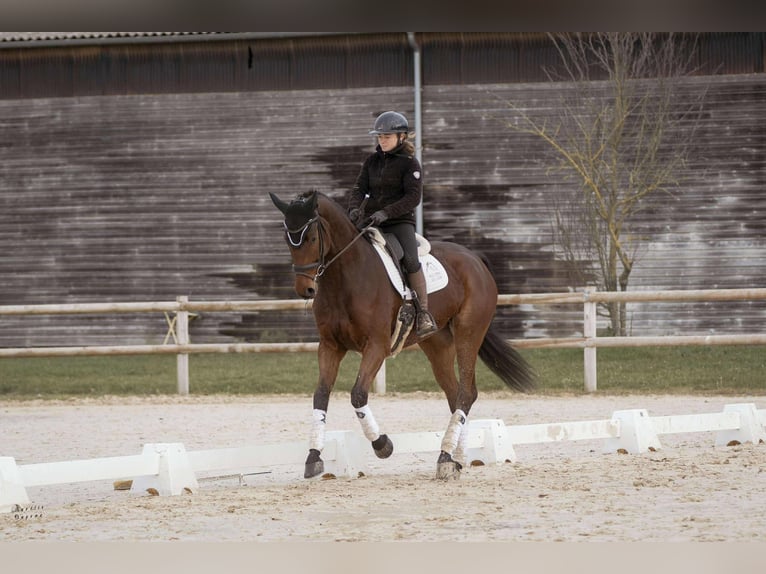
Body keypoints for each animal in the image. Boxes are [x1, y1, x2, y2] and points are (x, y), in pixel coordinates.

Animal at [272, 190, 536, 482]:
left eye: (311, 237)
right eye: (287, 238)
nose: (305, 289)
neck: (346, 277)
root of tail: (476, 259)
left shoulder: (376, 346)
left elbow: (358, 394)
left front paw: (383, 445)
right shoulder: (330, 346)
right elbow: (321, 395)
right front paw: (313, 457)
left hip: (469, 333)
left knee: (467, 392)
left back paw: (445, 458)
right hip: (437, 344)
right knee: (455, 393)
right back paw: (455, 458)